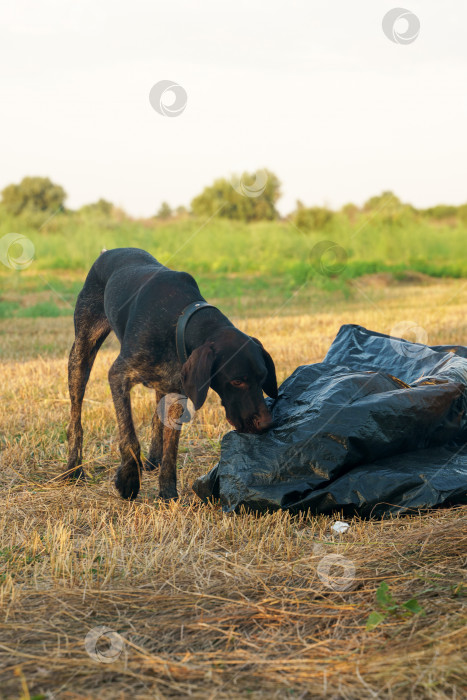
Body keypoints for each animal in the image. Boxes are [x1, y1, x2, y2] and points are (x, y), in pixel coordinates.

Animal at [66, 249, 278, 500]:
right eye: (236, 381)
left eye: (263, 378)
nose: (266, 424)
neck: (178, 321)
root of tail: (108, 252)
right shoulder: (119, 376)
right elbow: (129, 436)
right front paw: (128, 479)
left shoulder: (178, 392)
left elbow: (171, 449)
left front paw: (168, 491)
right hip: (81, 353)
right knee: (75, 417)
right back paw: (73, 468)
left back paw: (153, 459)